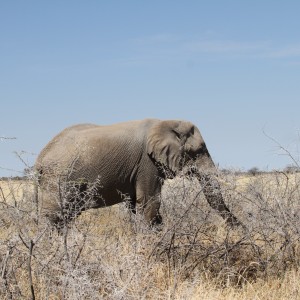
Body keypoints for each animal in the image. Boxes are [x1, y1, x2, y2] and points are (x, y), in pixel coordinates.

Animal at [35, 118, 240, 229]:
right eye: (198, 150)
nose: (242, 229)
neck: (166, 122)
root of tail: (41, 157)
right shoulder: (146, 163)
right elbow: (150, 202)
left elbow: (137, 205)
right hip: (59, 177)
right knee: (54, 216)